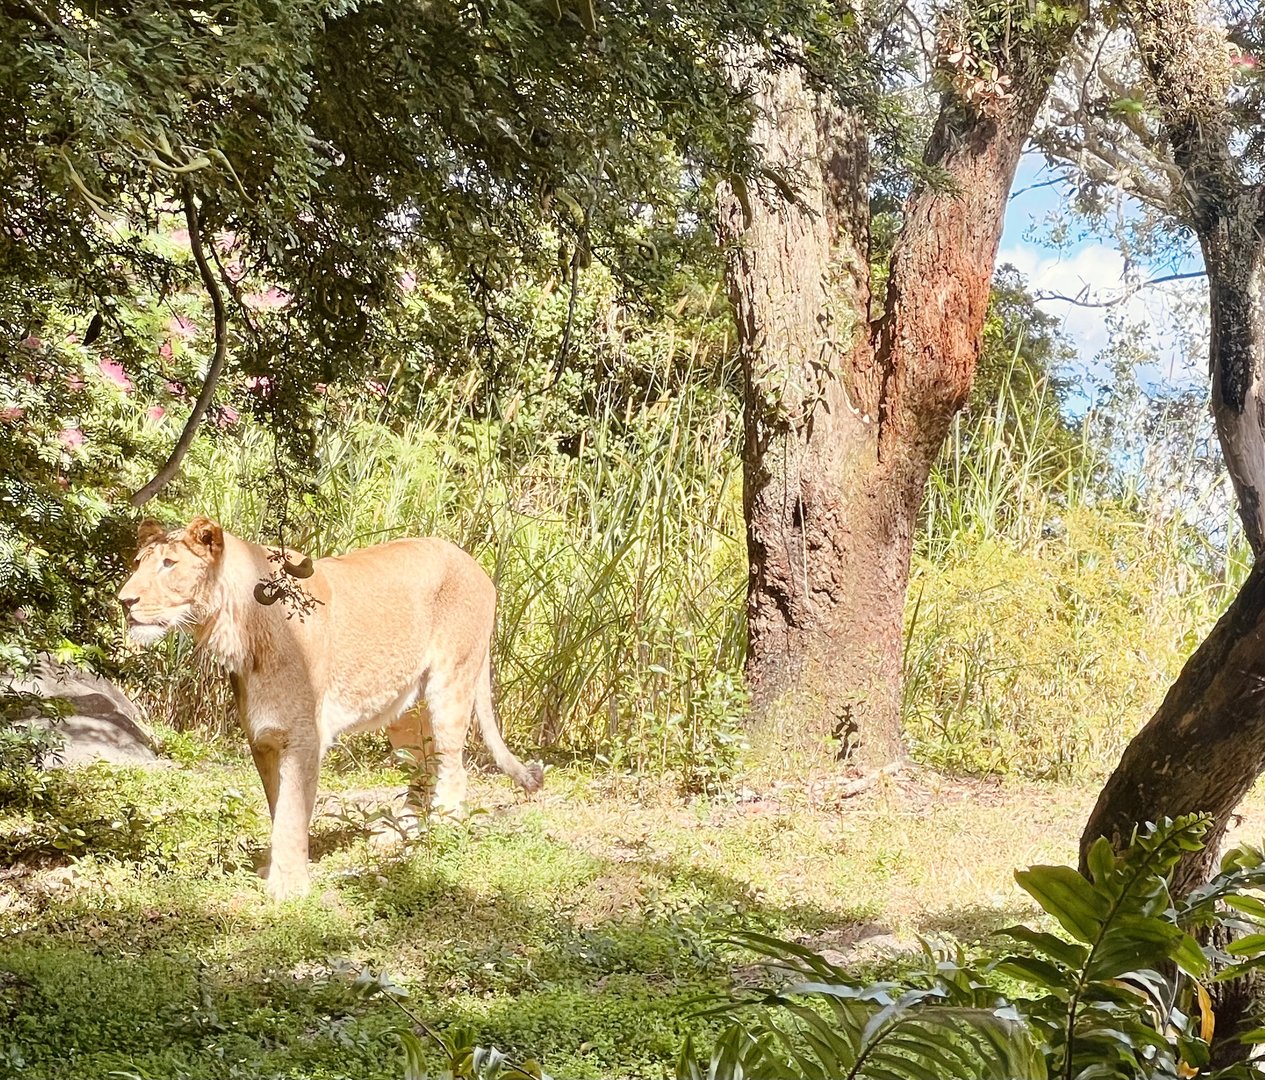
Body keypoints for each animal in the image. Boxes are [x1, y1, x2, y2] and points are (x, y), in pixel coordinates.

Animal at [117, 516, 543, 900]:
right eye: (138, 562)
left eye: (169, 563)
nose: (124, 601)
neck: (240, 627)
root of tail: (471, 561)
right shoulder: (264, 739)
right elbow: (280, 806)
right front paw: (279, 869)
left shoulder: (305, 736)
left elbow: (291, 811)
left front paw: (289, 885)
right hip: (405, 708)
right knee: (421, 767)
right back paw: (397, 836)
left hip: (451, 682)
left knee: (453, 767)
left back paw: (439, 834)